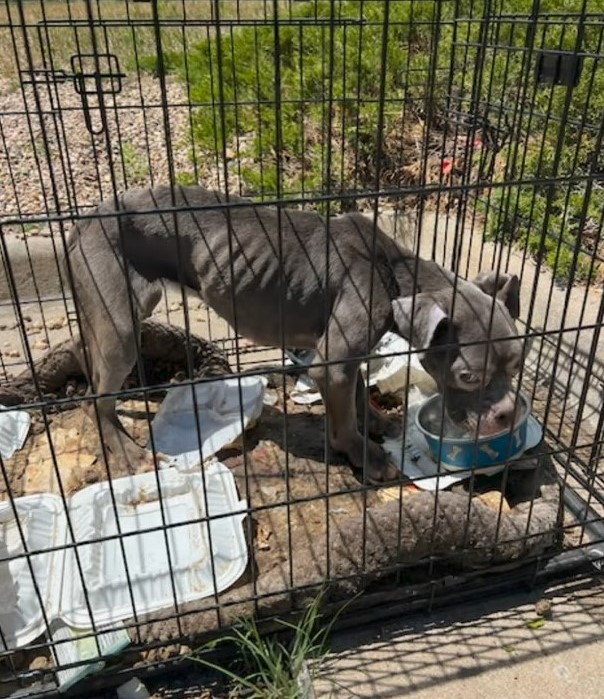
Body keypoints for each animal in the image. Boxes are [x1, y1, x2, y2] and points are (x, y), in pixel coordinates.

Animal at [66, 183, 524, 484]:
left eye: (516, 367)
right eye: (468, 376)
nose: (507, 414)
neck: (393, 271)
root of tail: (85, 219)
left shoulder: (349, 353)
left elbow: (359, 390)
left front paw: (376, 420)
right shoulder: (332, 363)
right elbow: (344, 419)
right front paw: (365, 455)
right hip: (121, 326)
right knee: (96, 400)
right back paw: (127, 451)